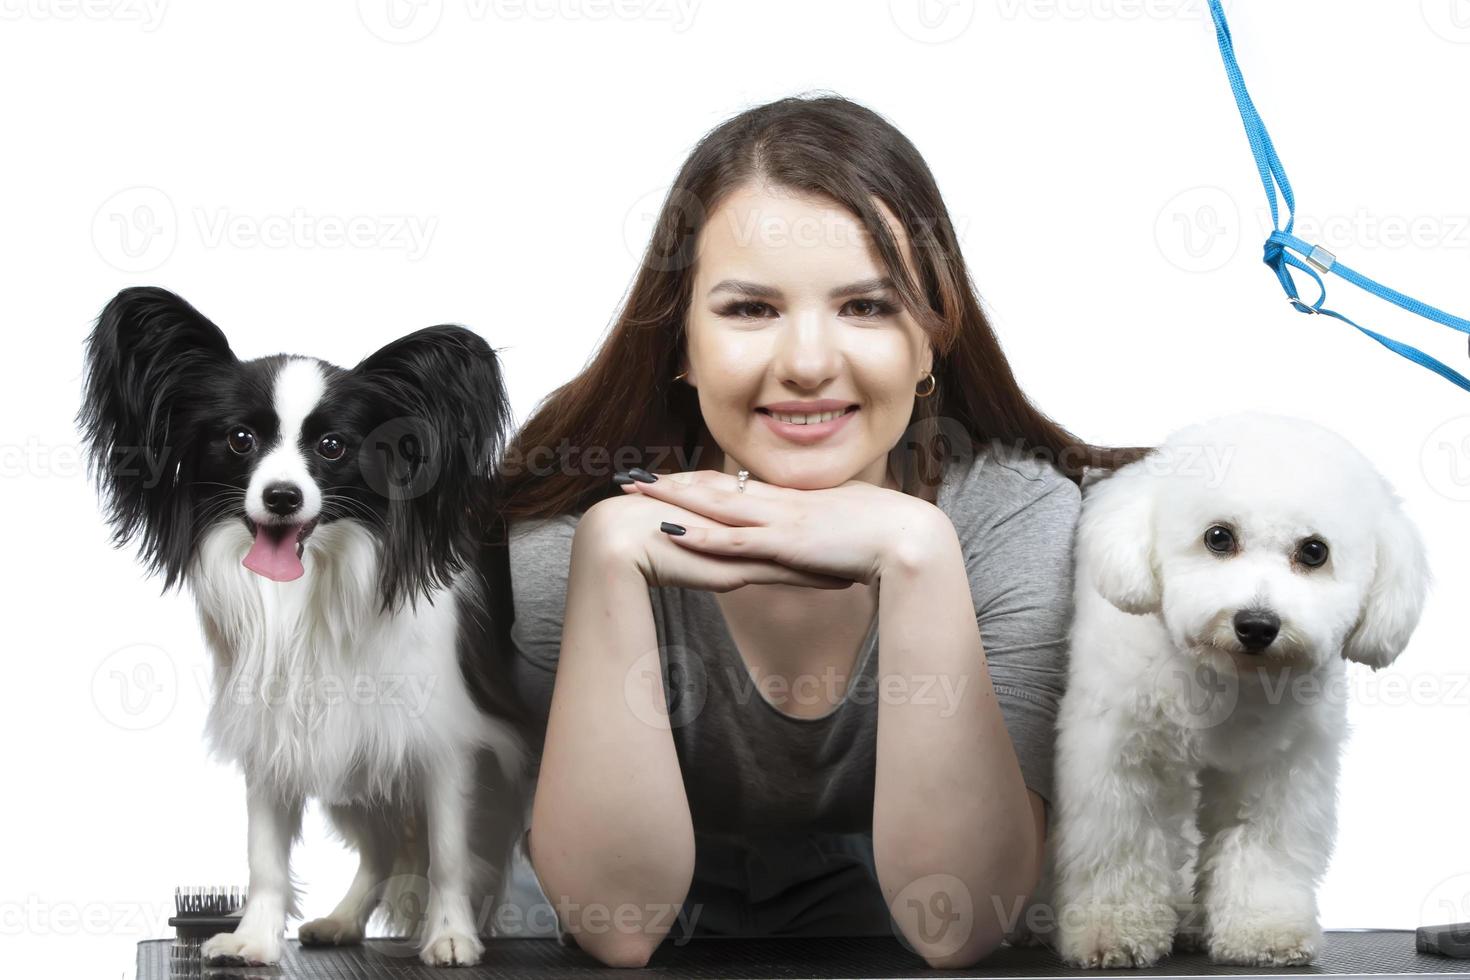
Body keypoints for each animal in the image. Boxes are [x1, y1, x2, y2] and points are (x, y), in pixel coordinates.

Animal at [77, 287, 538, 969]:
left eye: (333, 448)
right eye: (240, 439)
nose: (282, 497)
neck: (315, 584)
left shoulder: (447, 744)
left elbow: (450, 854)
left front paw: (451, 934)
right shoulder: (278, 730)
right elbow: (264, 854)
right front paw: (255, 938)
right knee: (378, 853)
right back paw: (342, 921)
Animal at [1017, 411, 1428, 969]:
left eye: (1314, 551)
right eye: (1218, 537)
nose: (1256, 624)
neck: (1224, 679)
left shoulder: (1276, 769)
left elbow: (1262, 846)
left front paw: (1263, 931)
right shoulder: (1119, 757)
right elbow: (1120, 843)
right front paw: (1113, 931)